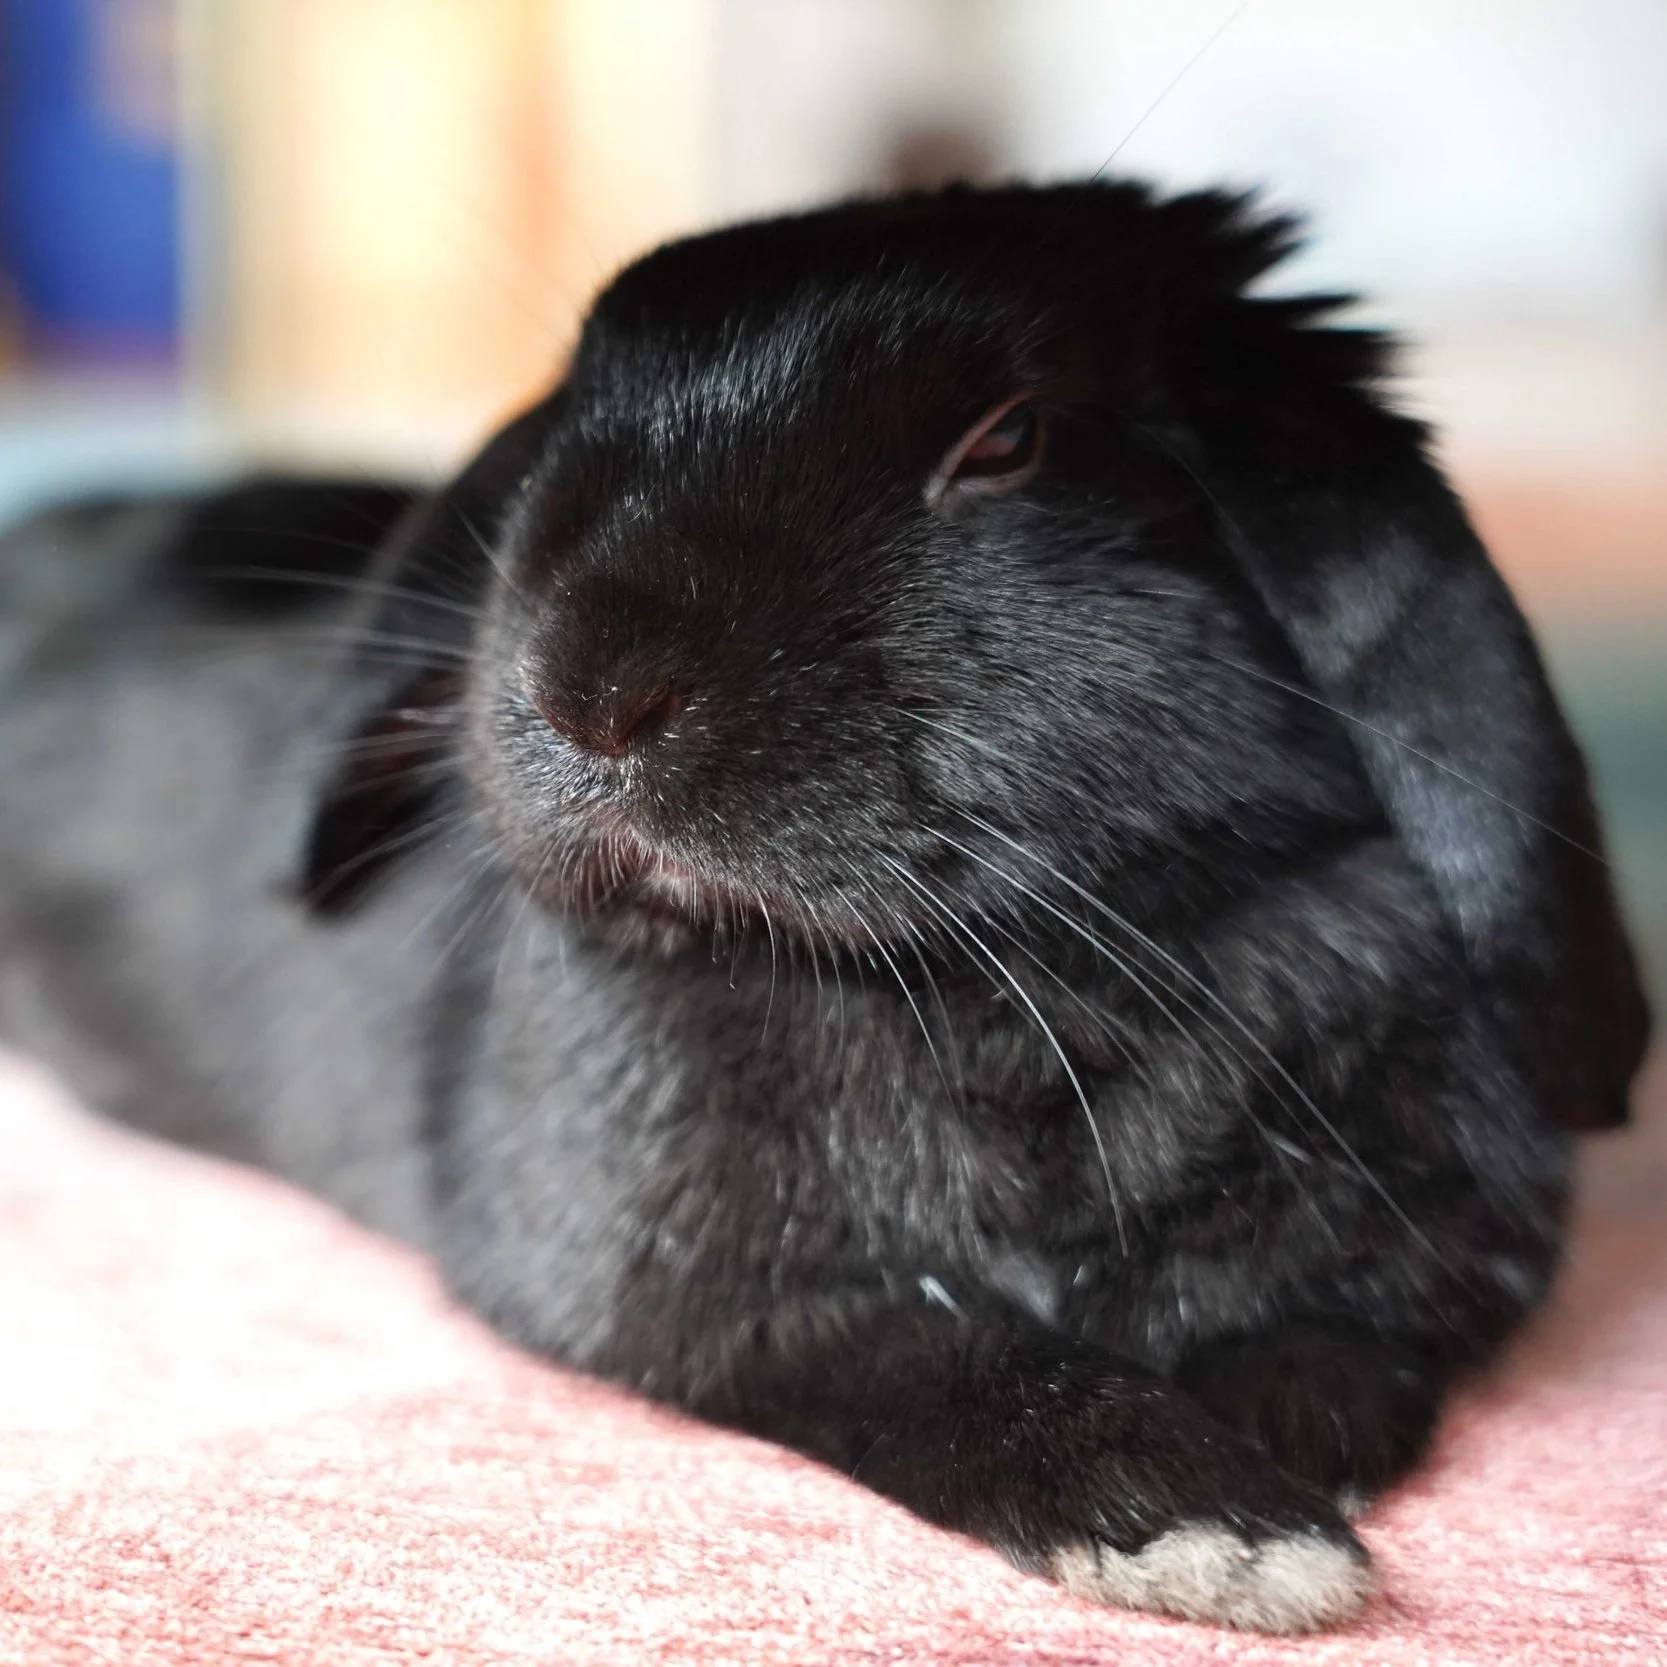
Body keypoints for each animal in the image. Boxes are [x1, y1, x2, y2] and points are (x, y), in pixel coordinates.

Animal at [0, 181, 1650, 1634]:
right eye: (572, 429)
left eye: (1006, 441)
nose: (591, 688)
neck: (1006, 969)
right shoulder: (709, 1299)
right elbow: (937, 1355)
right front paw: (1222, 1531)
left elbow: (1342, 1338)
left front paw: (1287, 1434)